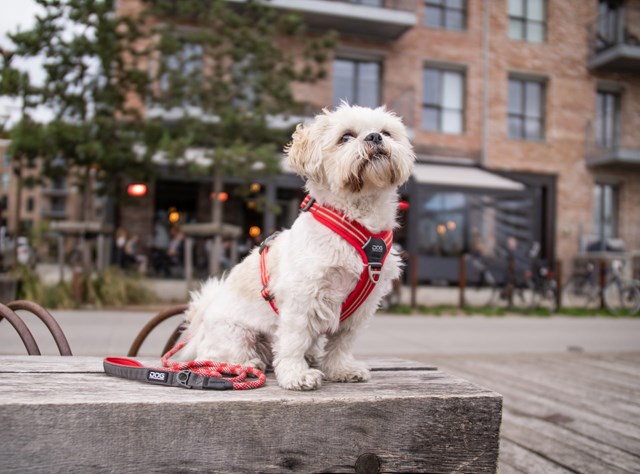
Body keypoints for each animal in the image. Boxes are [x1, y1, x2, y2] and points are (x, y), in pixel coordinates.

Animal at [180, 105, 416, 390]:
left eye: (386, 132)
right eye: (346, 137)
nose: (374, 137)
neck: (358, 223)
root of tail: (200, 323)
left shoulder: (364, 304)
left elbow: (343, 341)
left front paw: (340, 368)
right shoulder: (302, 296)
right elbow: (295, 339)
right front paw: (296, 374)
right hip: (235, 332)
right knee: (216, 355)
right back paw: (248, 363)